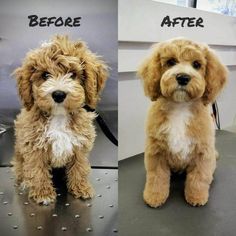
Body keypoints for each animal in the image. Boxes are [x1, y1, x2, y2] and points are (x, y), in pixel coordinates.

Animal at [12, 35, 108, 205]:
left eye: (73, 74)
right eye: (45, 75)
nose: (58, 94)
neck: (59, 116)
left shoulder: (80, 144)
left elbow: (79, 166)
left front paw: (81, 188)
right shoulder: (33, 145)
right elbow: (37, 170)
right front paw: (43, 193)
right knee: (21, 170)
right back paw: (25, 181)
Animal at [137, 37, 228, 206]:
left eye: (197, 64)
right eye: (171, 61)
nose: (183, 77)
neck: (180, 107)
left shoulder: (202, 152)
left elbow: (199, 177)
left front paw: (197, 197)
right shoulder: (156, 151)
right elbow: (156, 177)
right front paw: (154, 197)